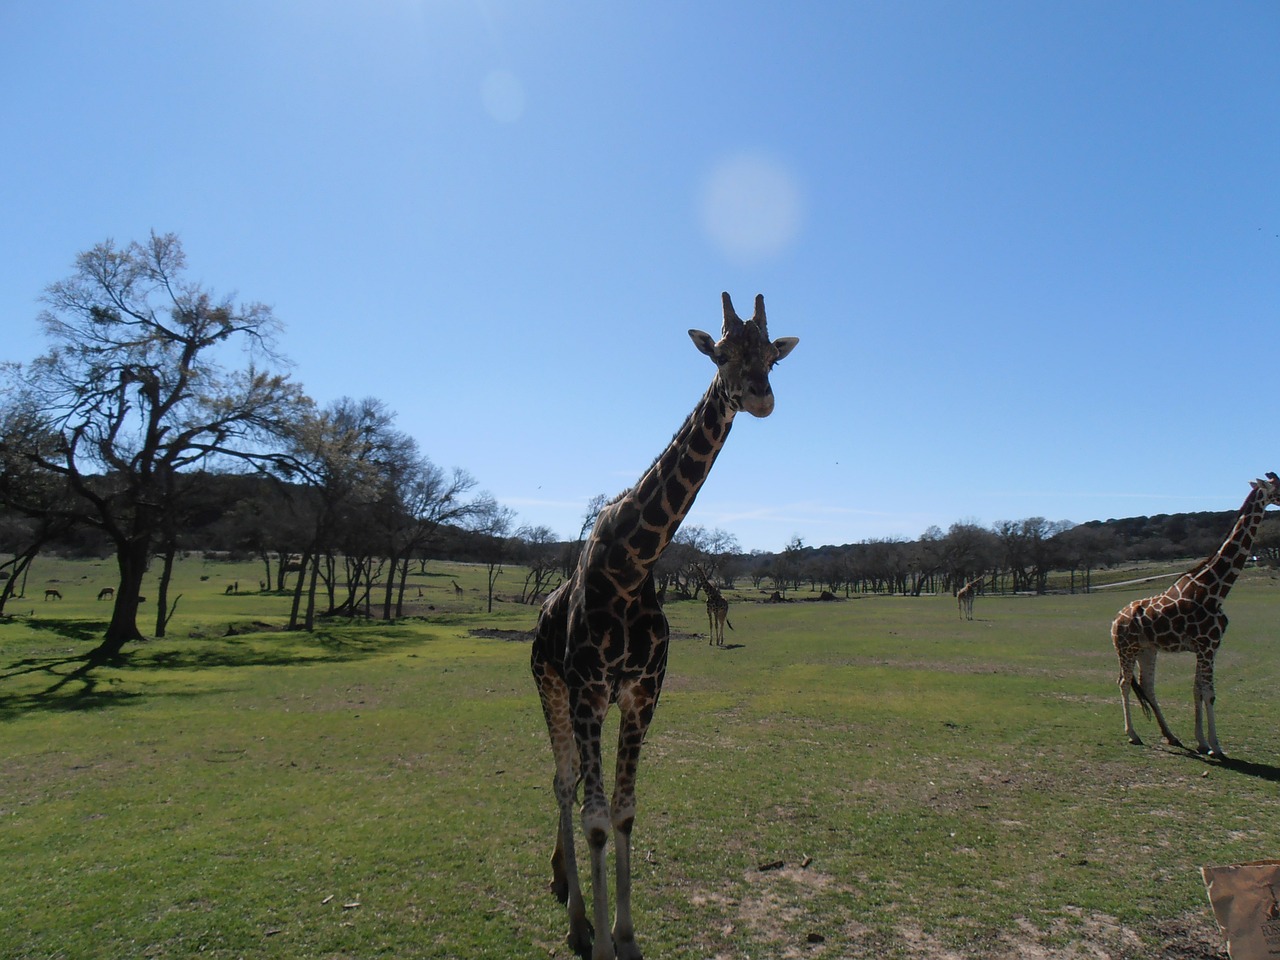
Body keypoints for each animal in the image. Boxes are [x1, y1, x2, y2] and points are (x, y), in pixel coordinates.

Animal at [532, 293, 798, 960]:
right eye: (722, 354)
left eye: (772, 358)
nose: (760, 397)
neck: (633, 565)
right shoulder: (588, 690)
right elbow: (597, 819)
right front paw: (601, 941)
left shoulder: (642, 693)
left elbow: (624, 811)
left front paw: (625, 937)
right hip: (550, 687)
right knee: (564, 783)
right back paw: (575, 917)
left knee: (572, 785)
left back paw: (564, 887)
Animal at [1111, 473, 1280, 757]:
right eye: (1279, 488)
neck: (1215, 590)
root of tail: (1114, 621)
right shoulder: (1207, 646)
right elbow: (1208, 693)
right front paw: (1216, 746)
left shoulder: (1207, 648)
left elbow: (1197, 690)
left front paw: (1202, 741)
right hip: (1126, 648)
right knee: (1123, 682)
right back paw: (1133, 735)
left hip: (1147, 650)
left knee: (1147, 686)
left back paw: (1171, 736)